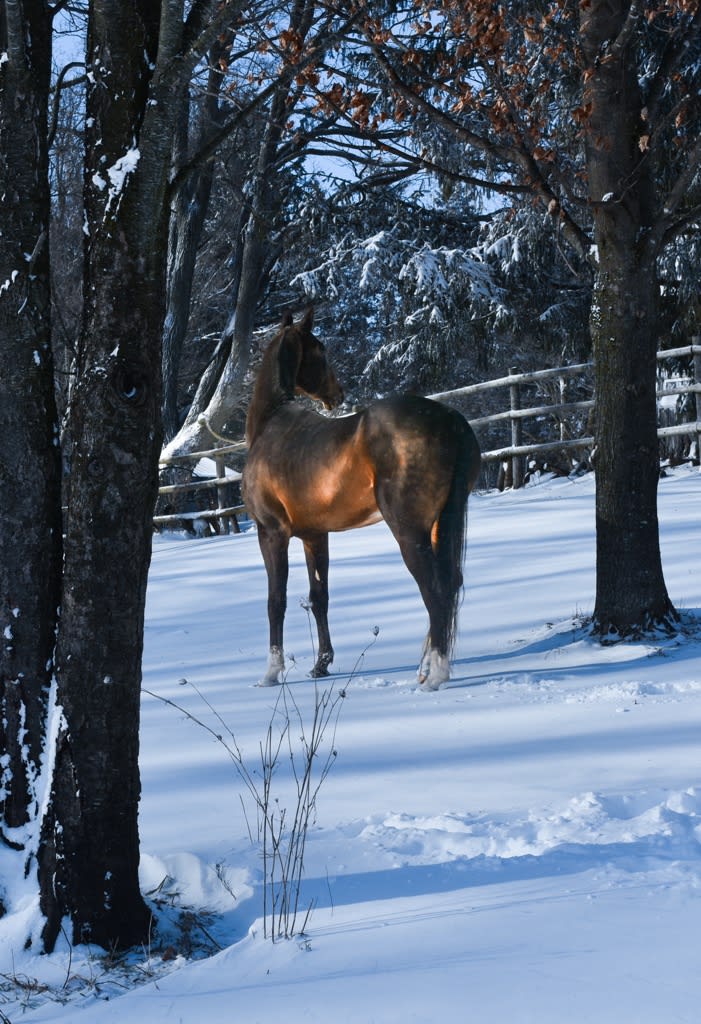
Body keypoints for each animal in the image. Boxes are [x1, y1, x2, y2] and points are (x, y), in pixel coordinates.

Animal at [242, 309, 482, 691]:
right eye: (320, 350)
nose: (337, 394)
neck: (270, 427)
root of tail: (451, 421)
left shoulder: (271, 533)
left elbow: (275, 601)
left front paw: (270, 673)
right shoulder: (314, 536)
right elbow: (319, 597)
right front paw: (321, 665)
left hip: (409, 532)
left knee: (435, 588)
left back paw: (435, 676)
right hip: (438, 525)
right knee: (451, 583)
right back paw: (427, 667)